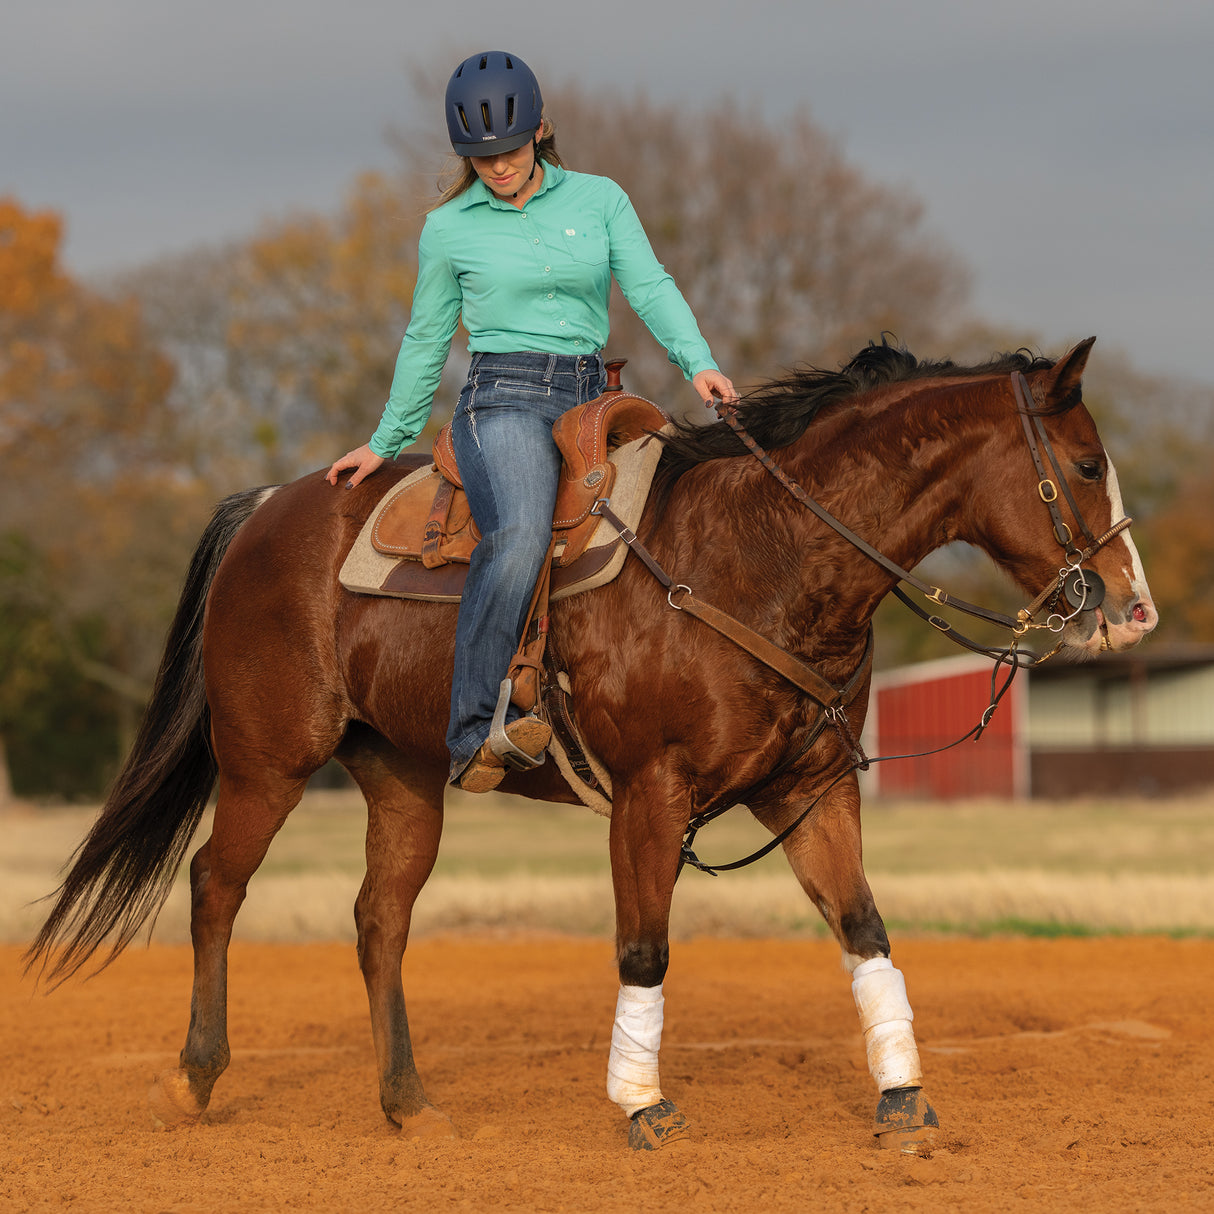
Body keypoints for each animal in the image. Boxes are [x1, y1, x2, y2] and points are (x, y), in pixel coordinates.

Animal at [26, 336, 1156, 1151]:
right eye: (1086, 463)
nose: (1132, 607)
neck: (760, 555)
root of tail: (270, 507)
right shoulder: (652, 793)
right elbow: (643, 946)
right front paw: (641, 1104)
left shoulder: (813, 787)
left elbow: (863, 930)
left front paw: (903, 1100)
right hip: (269, 762)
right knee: (216, 887)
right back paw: (193, 1078)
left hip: (401, 777)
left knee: (378, 920)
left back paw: (409, 1103)